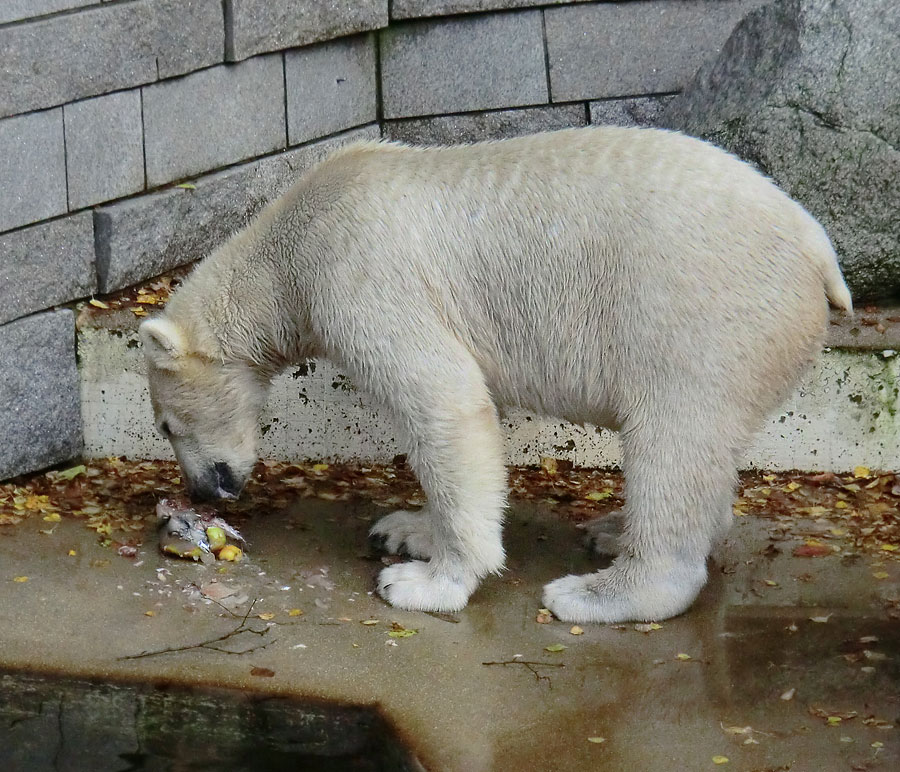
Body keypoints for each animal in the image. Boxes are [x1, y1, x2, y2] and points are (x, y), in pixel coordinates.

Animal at [141, 126, 852, 620]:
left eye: (166, 424)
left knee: (674, 444)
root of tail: (817, 250)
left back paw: (599, 592)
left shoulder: (357, 273)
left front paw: (423, 582)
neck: (289, 242)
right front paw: (405, 530)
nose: (205, 490)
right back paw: (610, 531)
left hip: (700, 319)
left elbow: (445, 402)